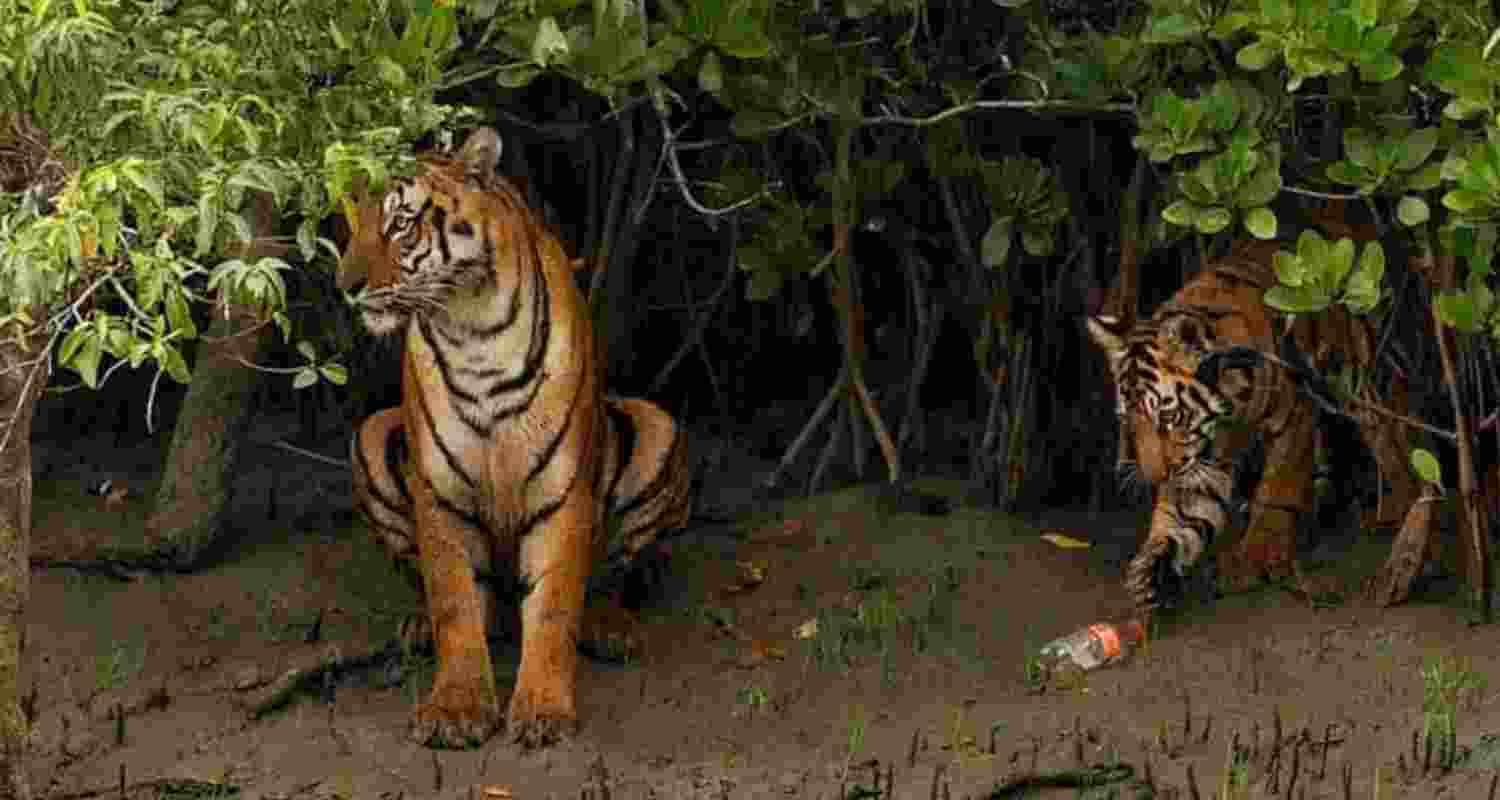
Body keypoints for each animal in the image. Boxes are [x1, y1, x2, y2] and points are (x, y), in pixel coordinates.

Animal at [337, 126, 691, 749]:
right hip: (371, 439)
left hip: (658, 428)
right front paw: (456, 708)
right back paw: (418, 626)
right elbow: (454, 602)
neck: (471, 330)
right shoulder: (440, 492)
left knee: (619, 570)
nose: (345, 289)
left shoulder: (563, 489)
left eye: (399, 223)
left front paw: (544, 710)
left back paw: (609, 626)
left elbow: (554, 606)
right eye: (353, 220)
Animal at [1087, 237, 1420, 619]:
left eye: (1168, 418)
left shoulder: (1294, 412)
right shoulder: (1203, 457)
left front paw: (1252, 560)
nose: (1157, 479)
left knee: (1390, 433)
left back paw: (1400, 509)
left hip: (1359, 373)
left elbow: (1277, 489)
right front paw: (1151, 572)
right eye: (1129, 423)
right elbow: (1182, 516)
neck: (1229, 408)